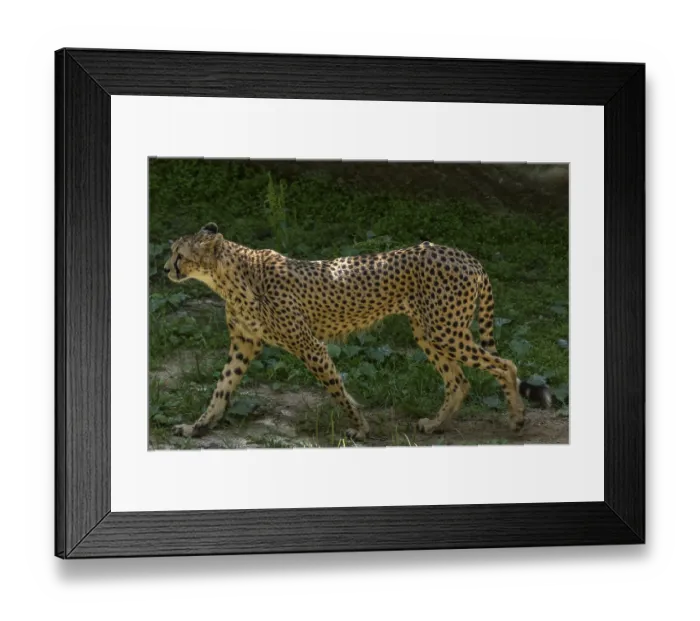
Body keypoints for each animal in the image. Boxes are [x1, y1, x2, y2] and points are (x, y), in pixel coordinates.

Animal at [162, 222, 552, 442]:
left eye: (180, 254)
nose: (165, 268)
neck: (229, 277)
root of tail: (465, 255)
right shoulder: (244, 344)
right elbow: (221, 390)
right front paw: (197, 428)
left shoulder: (311, 346)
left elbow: (337, 390)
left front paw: (361, 429)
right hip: (428, 331)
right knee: (460, 381)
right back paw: (435, 425)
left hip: (446, 330)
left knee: (505, 365)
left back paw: (517, 419)